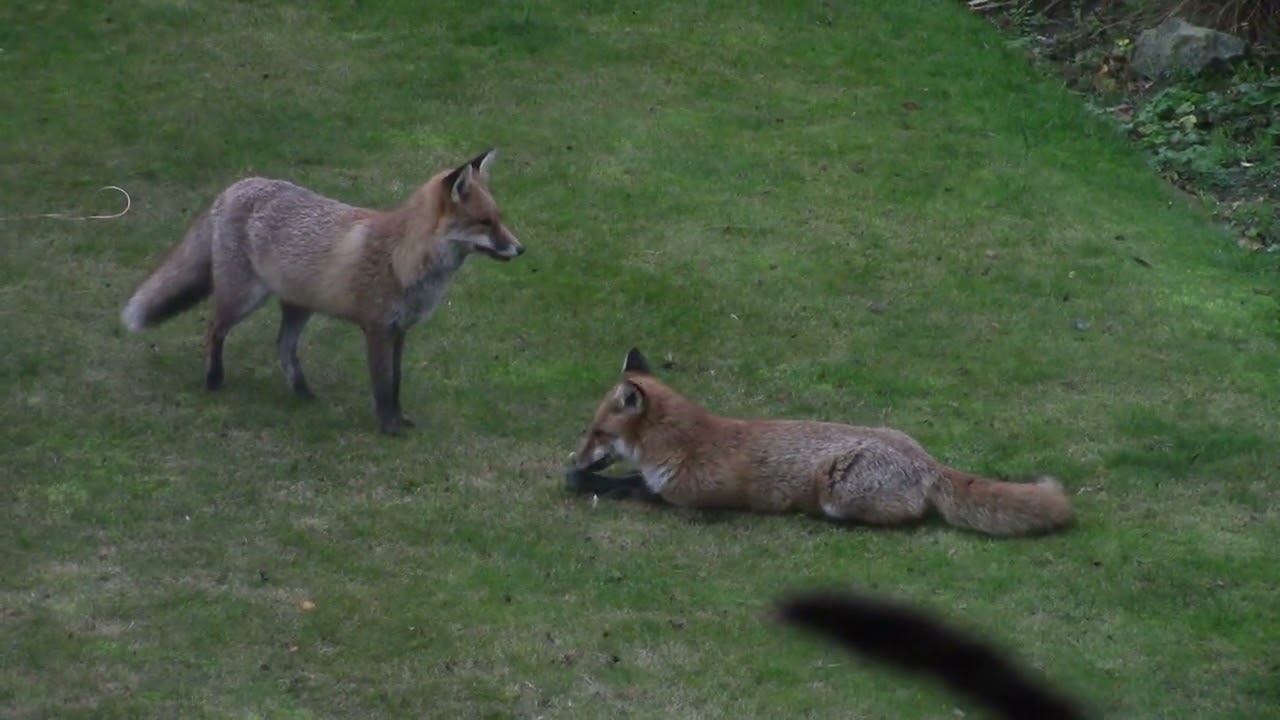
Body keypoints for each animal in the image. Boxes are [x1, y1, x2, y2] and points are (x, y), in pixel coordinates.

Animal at [121, 148, 522, 434]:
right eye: (484, 222)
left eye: (499, 219)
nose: (521, 249)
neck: (402, 257)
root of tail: (238, 186)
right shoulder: (377, 329)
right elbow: (382, 385)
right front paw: (389, 428)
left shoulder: (400, 331)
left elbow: (396, 382)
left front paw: (399, 419)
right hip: (243, 298)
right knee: (213, 329)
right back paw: (213, 380)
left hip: (299, 306)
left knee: (283, 346)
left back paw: (302, 393)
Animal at [566, 349, 1073, 536]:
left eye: (597, 433)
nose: (575, 457)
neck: (686, 440)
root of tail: (926, 462)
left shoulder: (684, 496)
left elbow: (629, 485)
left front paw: (582, 480)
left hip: (839, 494)